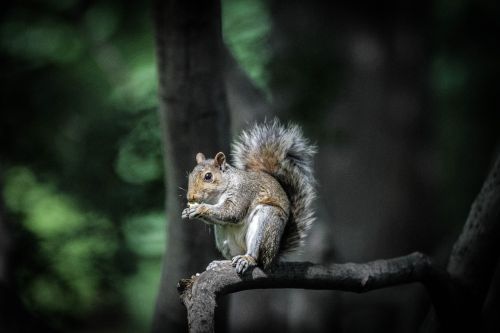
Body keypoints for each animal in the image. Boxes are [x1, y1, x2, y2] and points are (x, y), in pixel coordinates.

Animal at [182, 119, 316, 272]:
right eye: (190, 175)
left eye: (208, 176)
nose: (190, 197)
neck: (217, 196)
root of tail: (274, 257)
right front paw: (187, 211)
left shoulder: (243, 192)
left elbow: (233, 212)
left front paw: (199, 208)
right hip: (224, 237)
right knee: (232, 254)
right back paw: (222, 263)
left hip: (266, 222)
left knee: (258, 259)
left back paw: (247, 259)